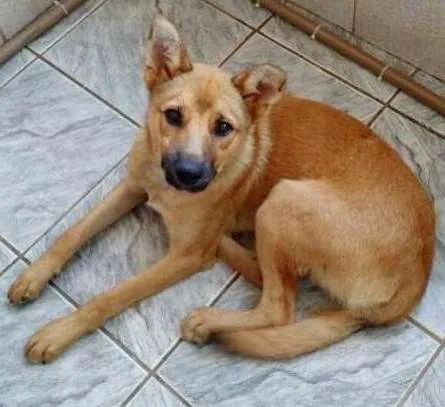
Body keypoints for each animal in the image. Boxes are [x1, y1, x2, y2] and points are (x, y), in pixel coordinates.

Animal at [7, 15, 434, 363]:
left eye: (224, 128)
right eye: (172, 116)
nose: (188, 174)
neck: (163, 186)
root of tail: (417, 276)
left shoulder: (183, 255)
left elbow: (110, 297)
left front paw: (59, 332)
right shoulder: (132, 187)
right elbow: (72, 232)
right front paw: (34, 275)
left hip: (283, 201)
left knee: (279, 306)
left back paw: (210, 319)